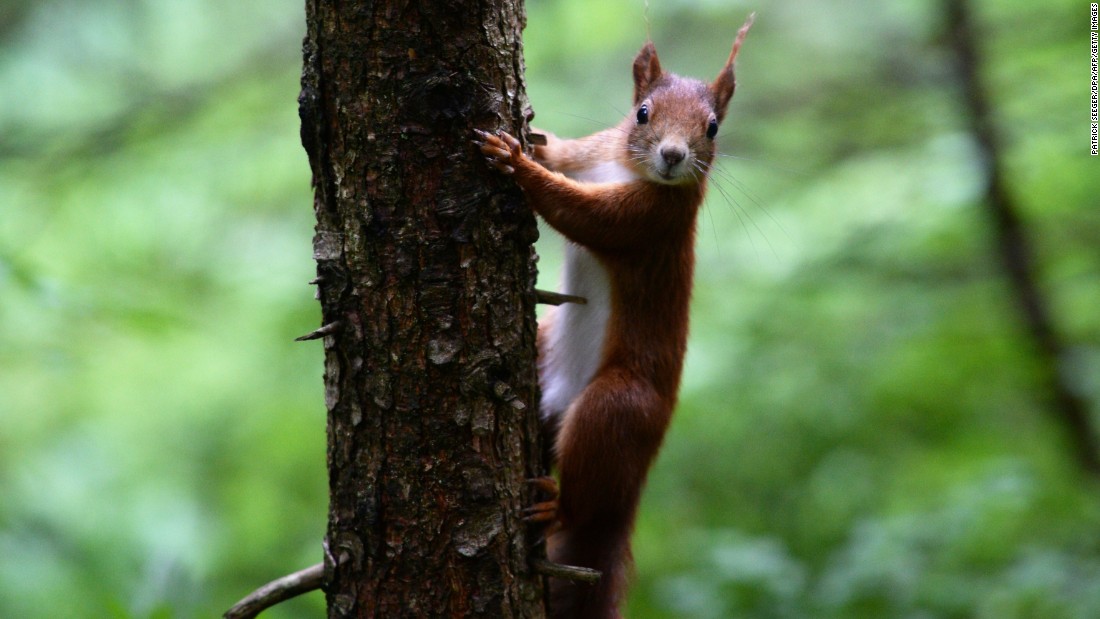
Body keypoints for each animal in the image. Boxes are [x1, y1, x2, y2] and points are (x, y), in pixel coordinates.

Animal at [477, 15, 752, 619]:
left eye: (713, 127)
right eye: (642, 112)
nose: (673, 155)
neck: (618, 167)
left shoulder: (649, 221)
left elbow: (580, 214)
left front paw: (518, 164)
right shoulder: (591, 152)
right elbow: (563, 156)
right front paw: (535, 141)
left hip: (618, 407)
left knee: (587, 488)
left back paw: (557, 507)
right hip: (546, 355)